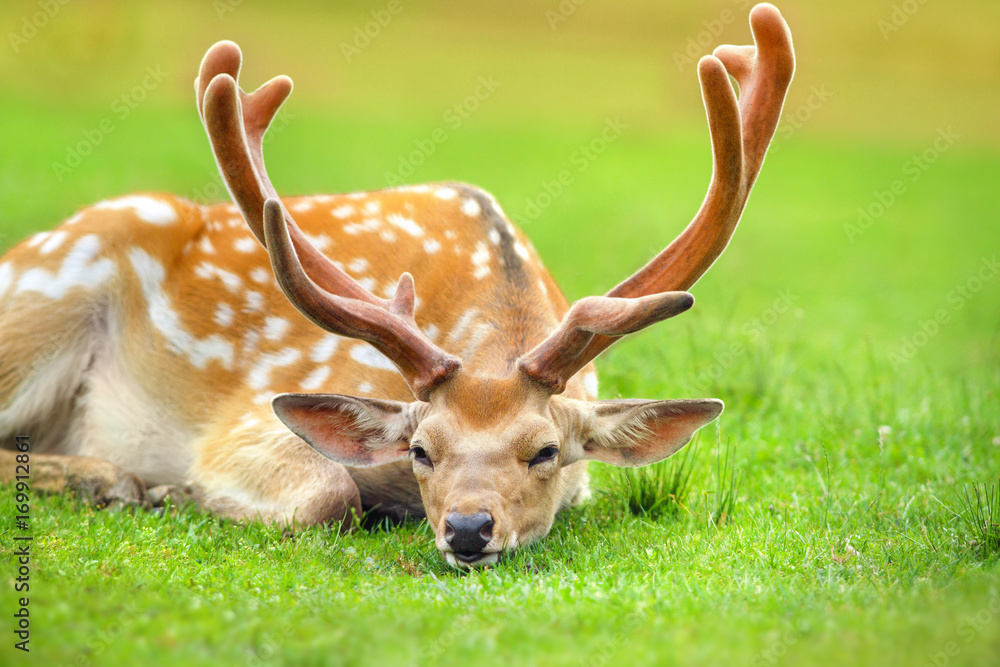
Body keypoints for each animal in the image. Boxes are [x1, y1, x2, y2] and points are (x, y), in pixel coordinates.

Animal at [0, 5, 793, 568]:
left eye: (544, 451)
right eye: (420, 449)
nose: (469, 528)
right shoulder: (248, 423)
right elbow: (328, 494)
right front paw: (180, 490)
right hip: (46, 292)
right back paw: (113, 481)